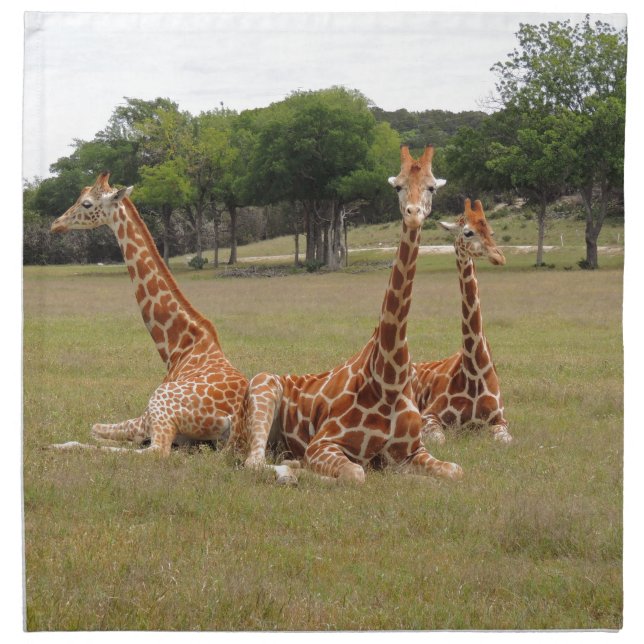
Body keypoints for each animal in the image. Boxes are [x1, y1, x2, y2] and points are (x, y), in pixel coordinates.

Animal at [48, 172, 248, 455]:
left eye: (86, 203)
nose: (56, 224)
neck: (178, 348)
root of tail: (233, 420)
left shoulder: (146, 418)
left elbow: (94, 428)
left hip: (160, 405)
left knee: (155, 451)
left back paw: (60, 444)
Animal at [235, 146, 462, 484]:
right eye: (398, 186)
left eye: (432, 187)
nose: (413, 214)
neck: (388, 379)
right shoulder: (322, 443)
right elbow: (356, 473)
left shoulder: (412, 451)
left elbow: (455, 471)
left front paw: (420, 480)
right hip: (263, 389)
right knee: (254, 462)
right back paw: (292, 469)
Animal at [412, 198, 512, 445]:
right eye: (468, 232)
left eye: (491, 231)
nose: (499, 257)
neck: (475, 372)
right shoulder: (429, 415)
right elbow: (439, 440)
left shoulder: (501, 420)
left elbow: (504, 441)